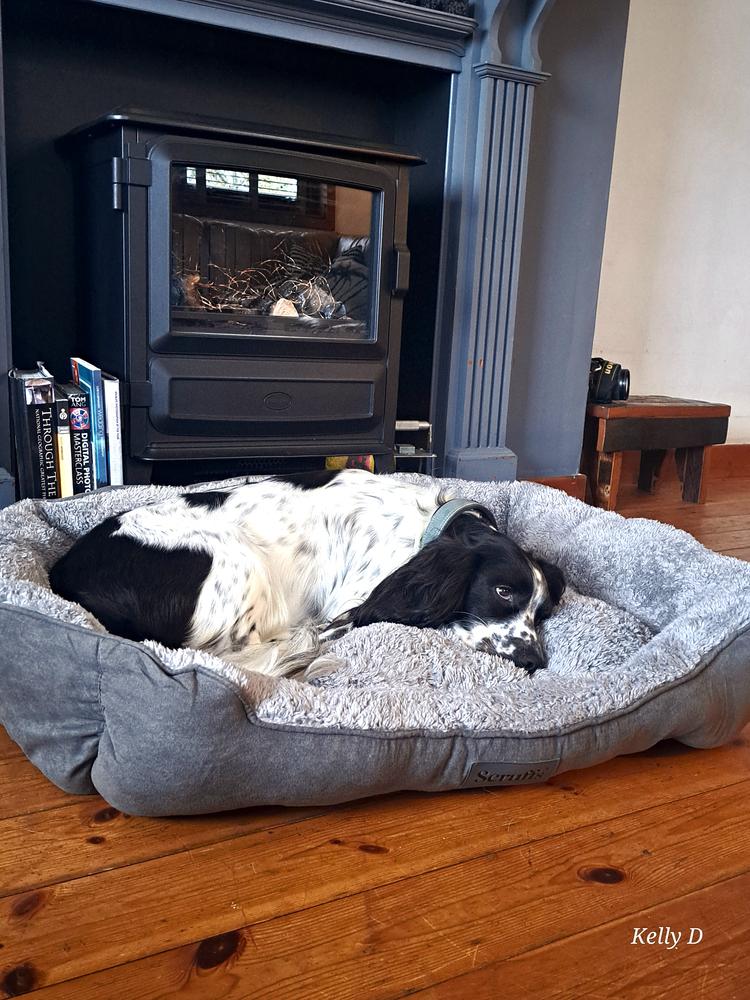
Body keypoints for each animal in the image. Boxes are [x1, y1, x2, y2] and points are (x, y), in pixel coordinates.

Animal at [50, 468, 564, 680]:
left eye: (542, 613)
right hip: (235, 558)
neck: (428, 526)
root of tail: (65, 575)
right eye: (502, 591)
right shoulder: (353, 603)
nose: (535, 661)